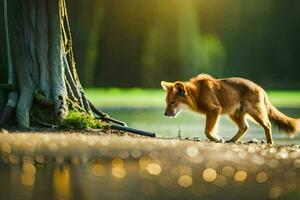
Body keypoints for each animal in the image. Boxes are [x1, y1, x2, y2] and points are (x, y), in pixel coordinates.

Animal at [162, 73, 300, 144]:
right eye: (167, 102)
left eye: (173, 102)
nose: (165, 114)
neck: (197, 94)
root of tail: (260, 88)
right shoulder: (213, 113)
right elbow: (208, 131)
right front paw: (219, 138)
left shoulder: (214, 110)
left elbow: (207, 131)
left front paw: (217, 138)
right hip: (233, 113)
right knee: (244, 127)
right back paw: (232, 140)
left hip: (254, 113)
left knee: (267, 124)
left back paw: (270, 143)